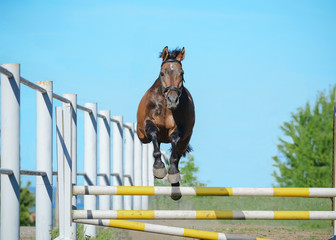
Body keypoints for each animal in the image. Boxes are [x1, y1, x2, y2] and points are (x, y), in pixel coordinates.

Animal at [136, 46, 196, 200]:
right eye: (162, 73)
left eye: (182, 73)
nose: (173, 100)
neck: (164, 106)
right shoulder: (145, 127)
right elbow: (153, 132)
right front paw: (158, 168)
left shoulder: (179, 129)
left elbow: (174, 143)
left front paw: (172, 172)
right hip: (142, 137)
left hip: (185, 142)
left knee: (178, 153)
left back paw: (175, 187)